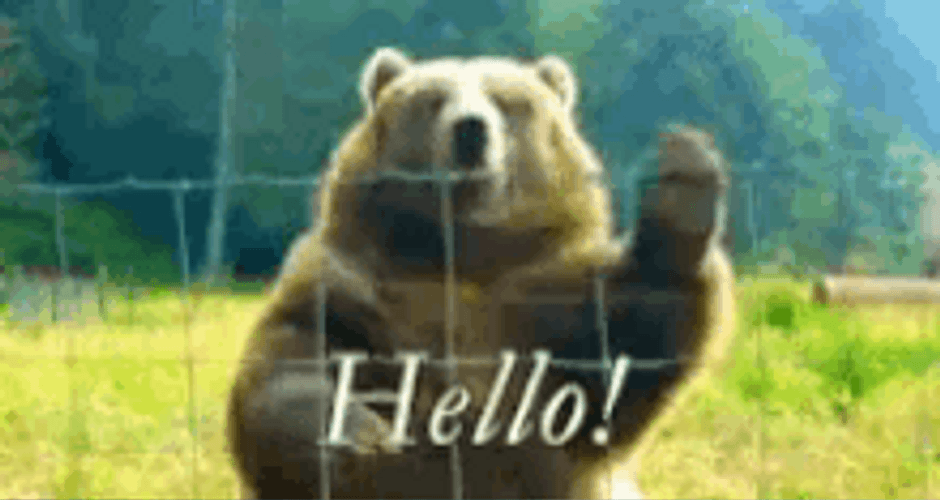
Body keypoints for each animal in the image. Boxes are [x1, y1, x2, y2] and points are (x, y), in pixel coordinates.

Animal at [226, 45, 736, 500]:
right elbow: (290, 366)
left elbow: (628, 348)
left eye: (507, 101)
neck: (463, 255)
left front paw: (682, 178)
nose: (470, 129)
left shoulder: (549, 304)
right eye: (433, 98)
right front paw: (360, 433)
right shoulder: (352, 289)